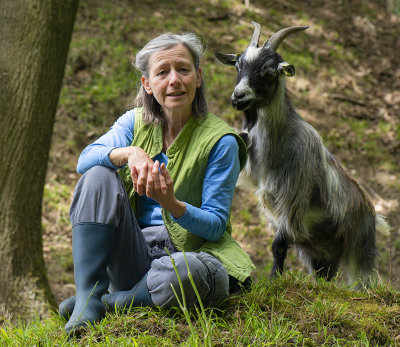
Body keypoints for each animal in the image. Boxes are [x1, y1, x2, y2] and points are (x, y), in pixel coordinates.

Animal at [217, 21, 390, 288]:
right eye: (238, 65)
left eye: (269, 71)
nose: (238, 97)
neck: (281, 143)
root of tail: (373, 215)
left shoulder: (293, 200)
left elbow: (278, 246)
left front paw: (275, 280)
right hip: (319, 252)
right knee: (325, 273)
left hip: (359, 251)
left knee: (364, 279)